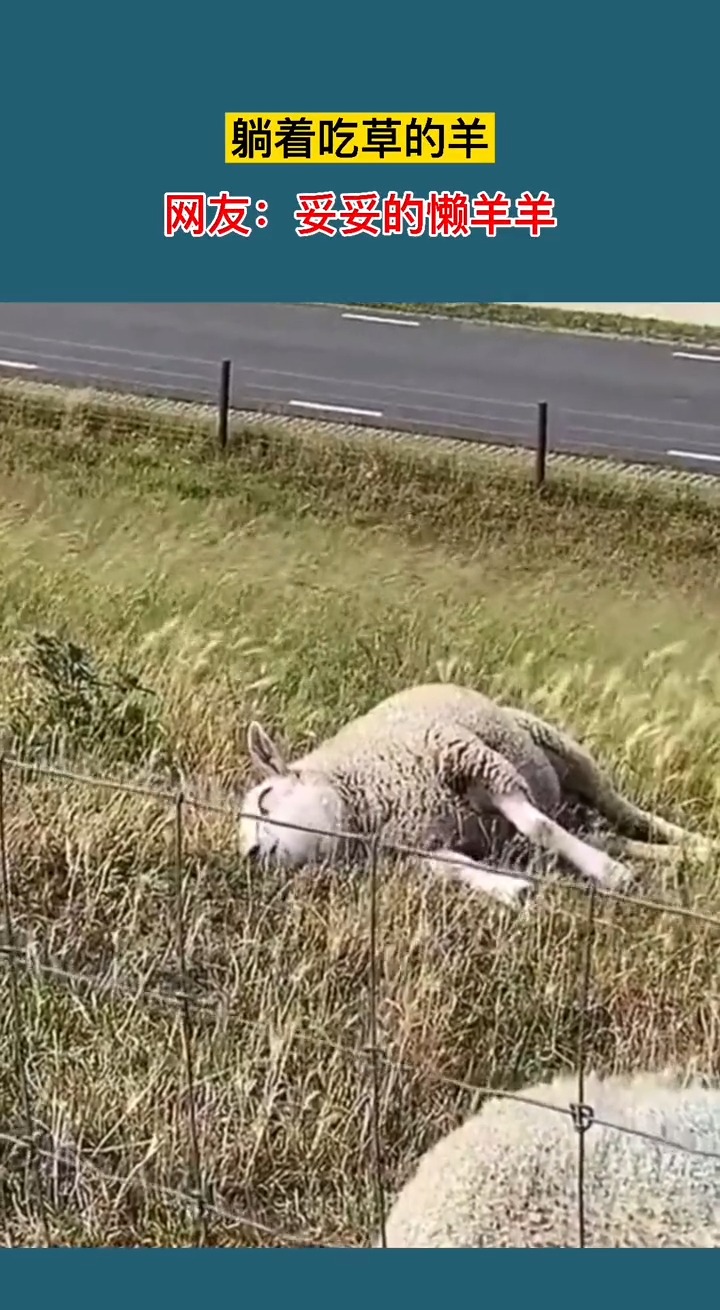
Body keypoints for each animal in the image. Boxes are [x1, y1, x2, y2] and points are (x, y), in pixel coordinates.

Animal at [236, 686, 712, 911]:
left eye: (265, 798)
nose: (252, 855)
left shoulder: (472, 761)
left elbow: (536, 825)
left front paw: (613, 876)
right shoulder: (415, 846)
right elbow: (456, 868)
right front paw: (511, 889)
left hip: (565, 753)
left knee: (624, 813)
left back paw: (699, 846)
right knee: (606, 835)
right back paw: (677, 858)